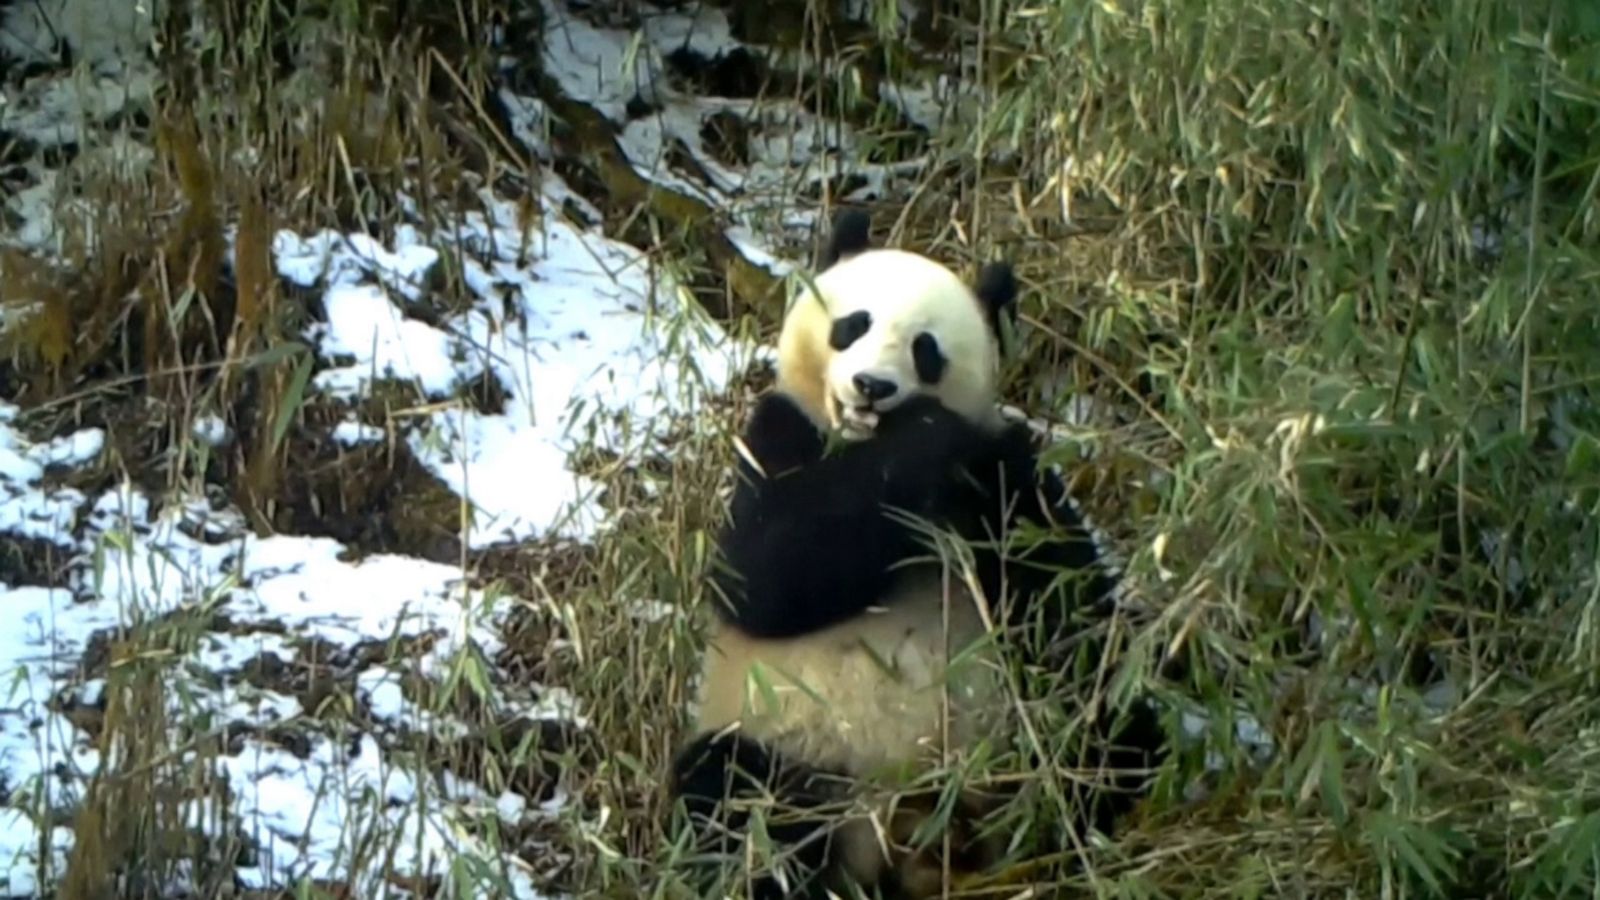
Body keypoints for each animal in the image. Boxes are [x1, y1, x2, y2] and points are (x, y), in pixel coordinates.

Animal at [667, 209, 1166, 900]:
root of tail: (911, 829)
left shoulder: (1006, 477)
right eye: (854, 324)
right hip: (796, 747)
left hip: (1010, 734)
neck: (862, 446)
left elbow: (1061, 598)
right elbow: (761, 577)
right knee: (735, 793)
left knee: (1109, 725)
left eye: (925, 349)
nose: (871, 387)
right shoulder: (778, 437)